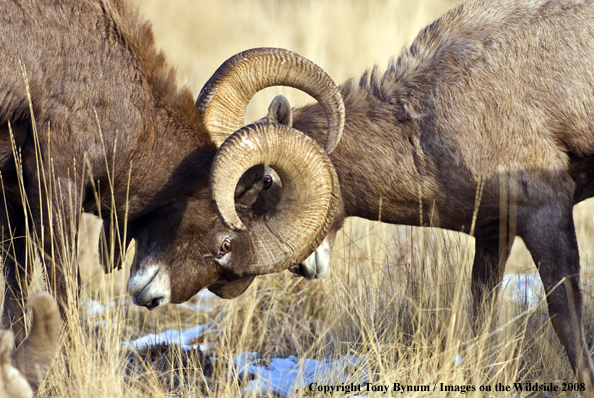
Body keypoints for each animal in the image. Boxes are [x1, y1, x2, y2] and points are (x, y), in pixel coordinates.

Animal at [0, 0, 342, 342]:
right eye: (225, 244)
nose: (152, 299)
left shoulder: (12, 199)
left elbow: (15, 285)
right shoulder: (57, 184)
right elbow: (64, 287)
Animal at [205, 0, 594, 392]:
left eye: (267, 180)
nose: (302, 267)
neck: (423, 123)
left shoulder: (545, 213)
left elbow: (566, 319)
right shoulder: (493, 232)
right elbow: (481, 319)